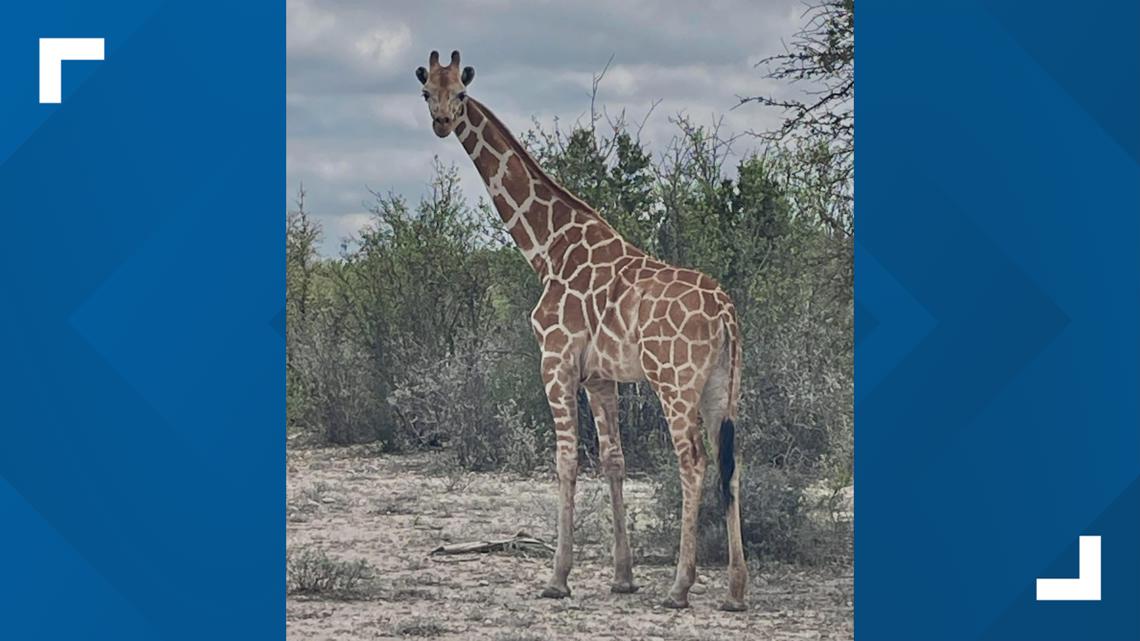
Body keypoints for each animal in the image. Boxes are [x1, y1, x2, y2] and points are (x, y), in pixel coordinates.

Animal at [415, 50, 747, 611]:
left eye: (460, 92)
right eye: (426, 92)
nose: (441, 122)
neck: (547, 249)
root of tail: (726, 313)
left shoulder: (556, 360)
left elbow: (566, 460)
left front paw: (557, 577)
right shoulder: (600, 375)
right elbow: (613, 460)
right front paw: (622, 576)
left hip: (675, 381)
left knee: (693, 461)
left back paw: (680, 587)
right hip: (723, 386)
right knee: (731, 462)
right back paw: (735, 591)